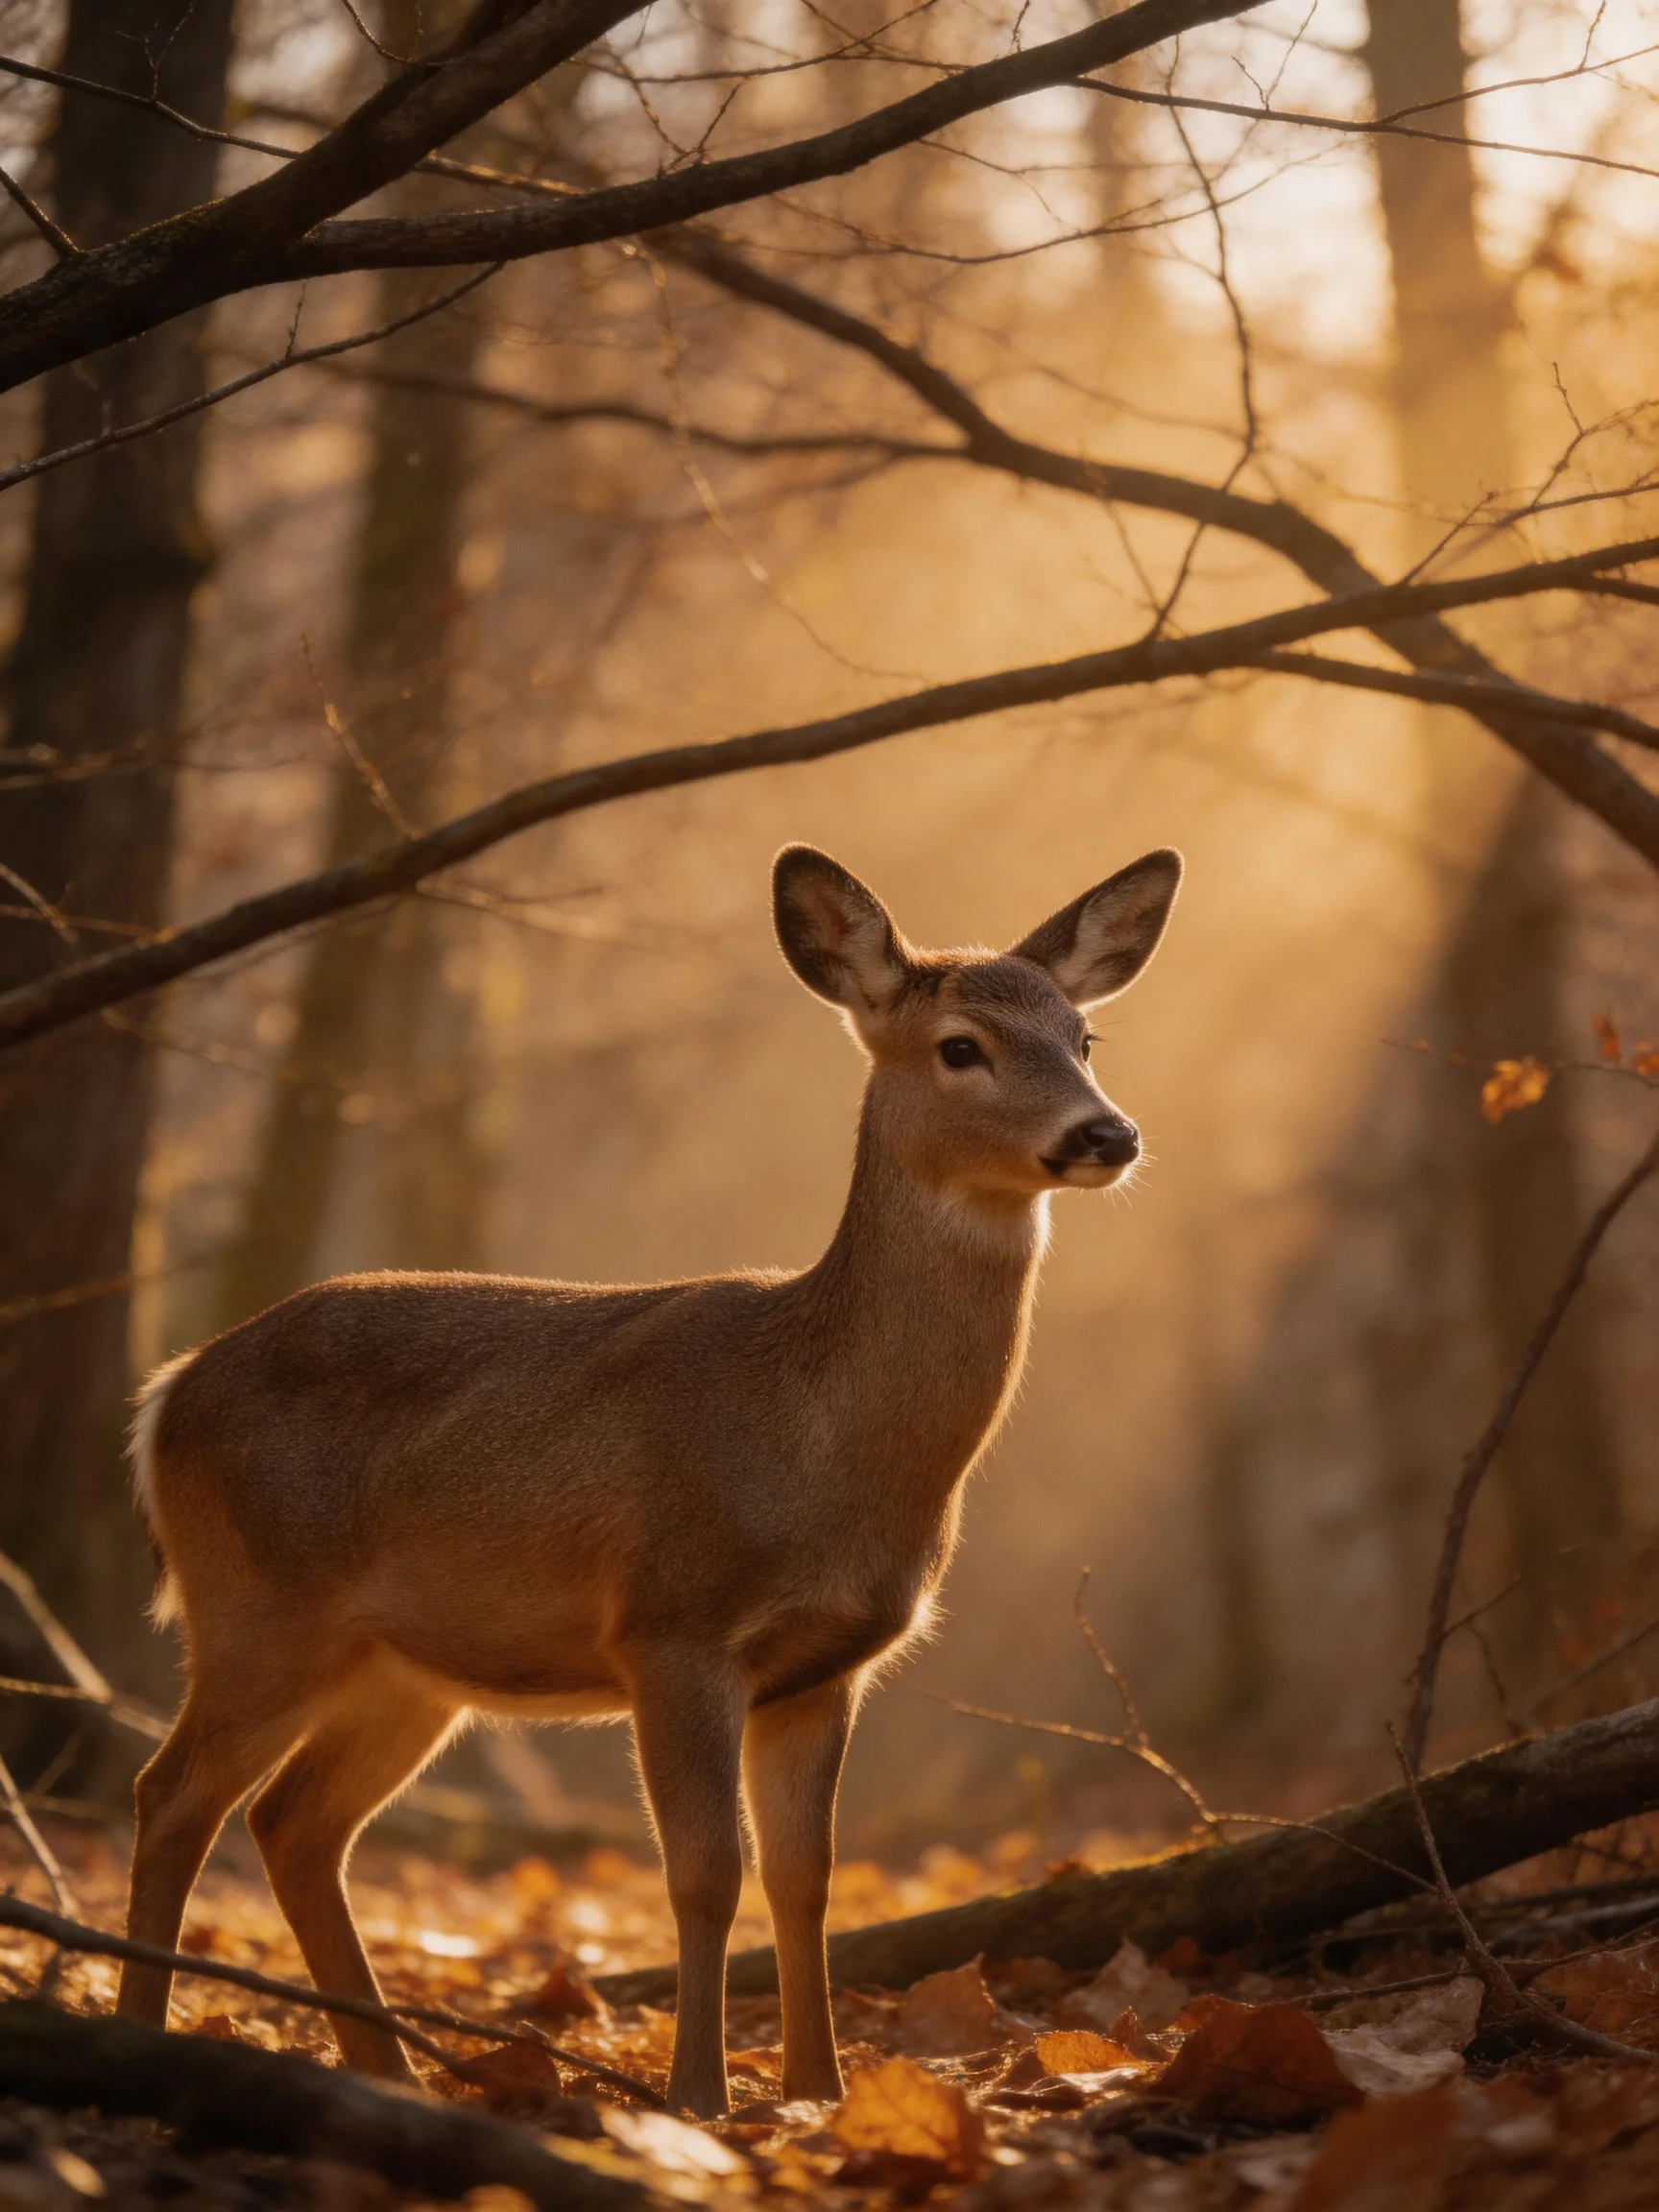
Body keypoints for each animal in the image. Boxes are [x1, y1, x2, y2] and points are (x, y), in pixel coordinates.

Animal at [118, 840, 1182, 2117]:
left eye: (1083, 1036)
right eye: (961, 1045)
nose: (1107, 1135)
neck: (818, 1434)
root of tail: (165, 1396)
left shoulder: (827, 1667)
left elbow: (808, 1876)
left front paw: (819, 2093)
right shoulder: (673, 1624)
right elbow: (707, 1871)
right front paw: (701, 2100)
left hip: (406, 1667)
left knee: (296, 1822)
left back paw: (390, 2073)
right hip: (259, 1609)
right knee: (173, 1794)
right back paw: (144, 2036)